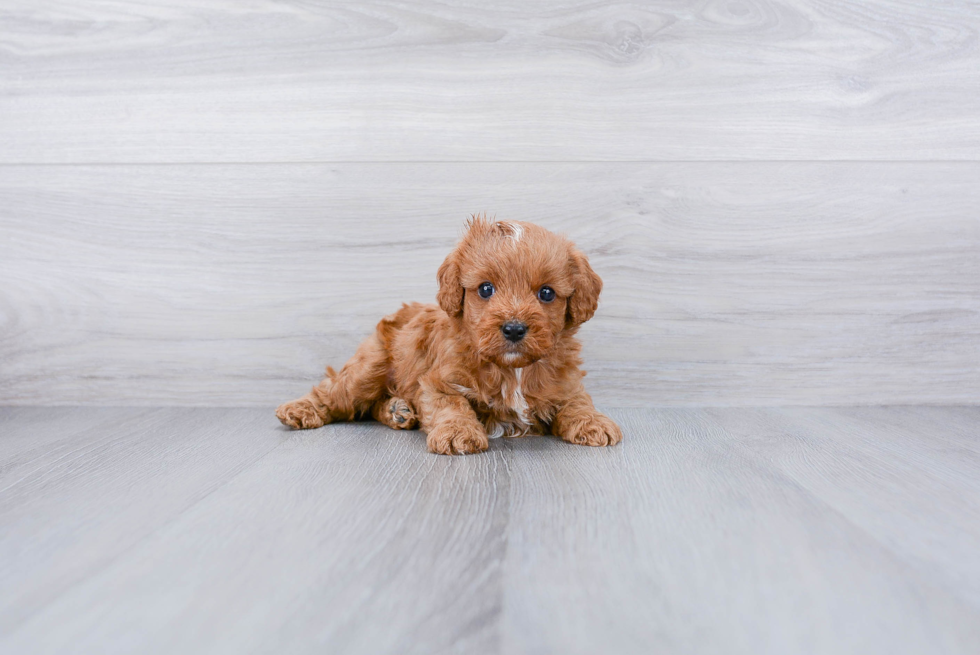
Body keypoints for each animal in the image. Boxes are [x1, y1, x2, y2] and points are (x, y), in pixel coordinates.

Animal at [278, 218, 620, 454]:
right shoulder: (437, 381)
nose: (513, 328)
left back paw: (397, 411)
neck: (512, 370)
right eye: (485, 289)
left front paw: (594, 422)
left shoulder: (566, 382)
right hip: (369, 367)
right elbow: (452, 404)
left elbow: (578, 402)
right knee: (335, 391)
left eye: (547, 293)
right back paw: (300, 409)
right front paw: (458, 433)